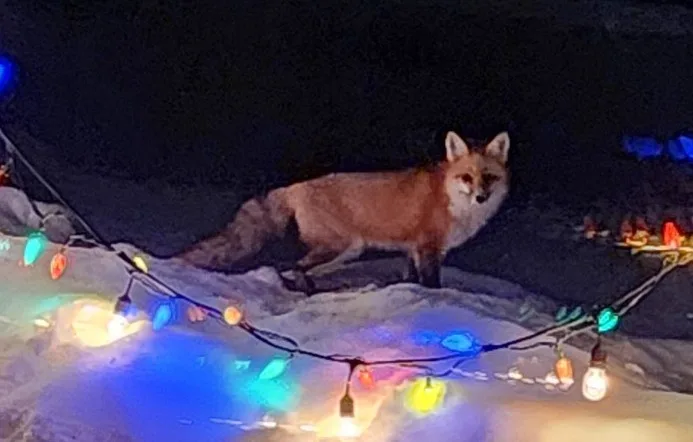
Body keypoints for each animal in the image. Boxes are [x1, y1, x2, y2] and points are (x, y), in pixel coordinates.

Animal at [174, 131, 510, 293]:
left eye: (489, 177)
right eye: (466, 177)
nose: (481, 197)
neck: (450, 199)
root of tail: (296, 186)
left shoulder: (412, 249)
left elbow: (412, 281)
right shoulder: (427, 247)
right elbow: (432, 284)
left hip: (344, 253)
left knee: (294, 268)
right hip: (341, 247)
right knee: (292, 265)